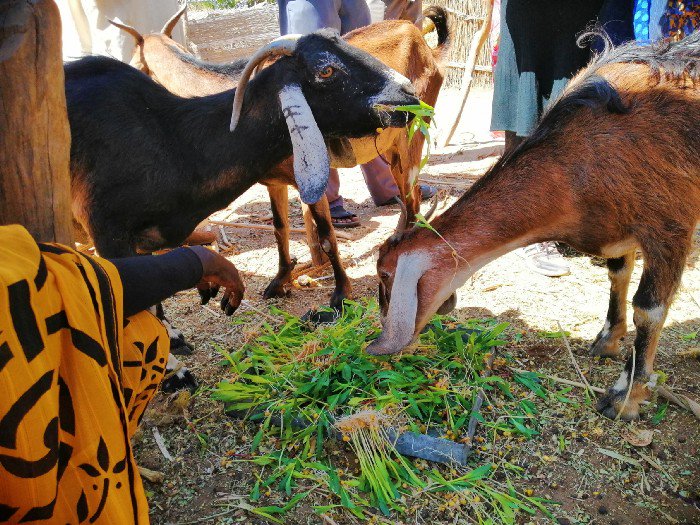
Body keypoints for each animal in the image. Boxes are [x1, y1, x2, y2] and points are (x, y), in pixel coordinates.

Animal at [110, 6, 448, 308]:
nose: (404, 92)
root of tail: (419, 37)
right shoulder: (274, 181)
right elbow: (279, 229)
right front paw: (280, 282)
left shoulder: (313, 179)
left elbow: (327, 236)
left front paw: (340, 295)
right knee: (410, 196)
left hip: (411, 138)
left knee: (411, 194)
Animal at [370, 32, 696, 420]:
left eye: (385, 274)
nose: (381, 336)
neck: (578, 164)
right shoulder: (617, 229)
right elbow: (617, 274)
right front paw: (607, 339)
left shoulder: (670, 224)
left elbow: (648, 310)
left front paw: (626, 395)